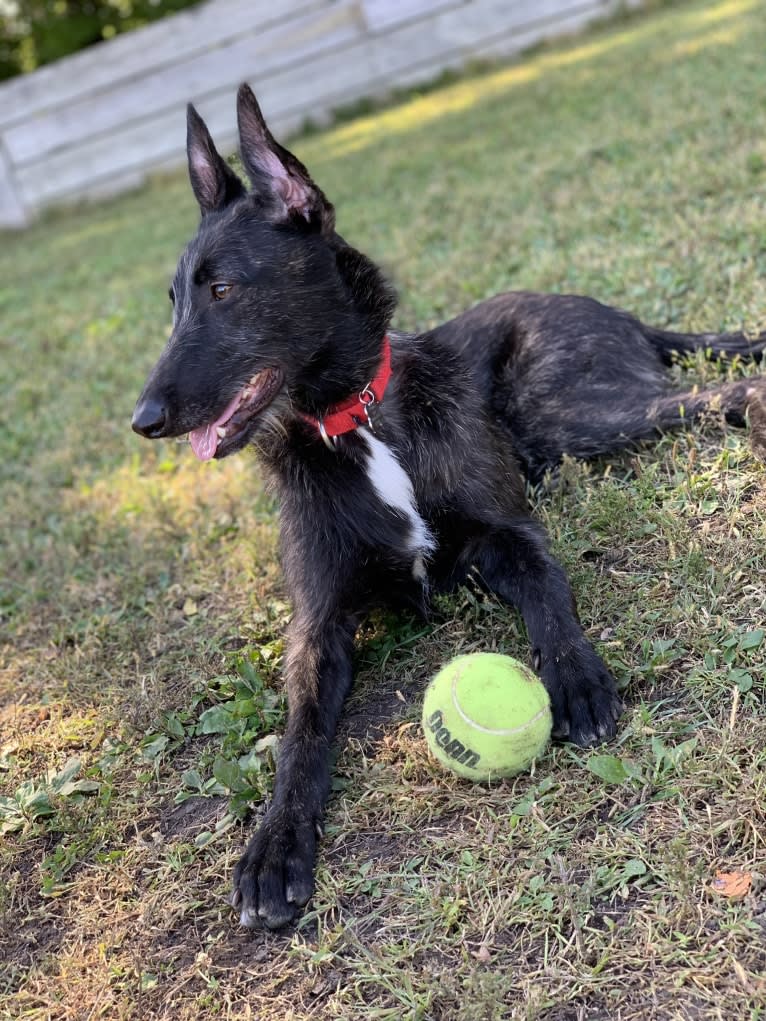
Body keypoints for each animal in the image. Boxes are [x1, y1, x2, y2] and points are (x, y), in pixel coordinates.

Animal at [133, 85, 766, 935]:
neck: (358, 423)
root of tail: (608, 308)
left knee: (717, 390)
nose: (142, 419)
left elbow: (550, 601)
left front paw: (576, 678)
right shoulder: (318, 624)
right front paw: (276, 841)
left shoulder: (511, 535)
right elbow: (301, 735)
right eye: (174, 300)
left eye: (223, 288)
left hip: (569, 413)